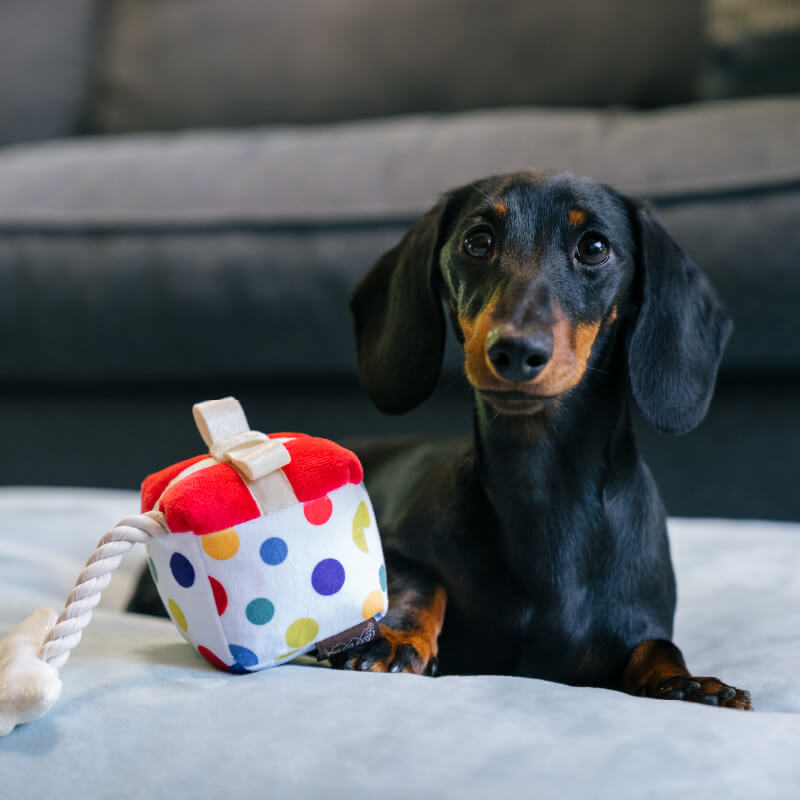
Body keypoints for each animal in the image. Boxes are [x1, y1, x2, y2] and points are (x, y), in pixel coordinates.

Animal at [334, 172, 752, 708]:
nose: (515, 351)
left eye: (594, 247)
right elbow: (419, 578)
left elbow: (657, 645)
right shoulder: (398, 544)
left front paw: (688, 684)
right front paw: (397, 636)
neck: (540, 487)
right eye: (477, 241)